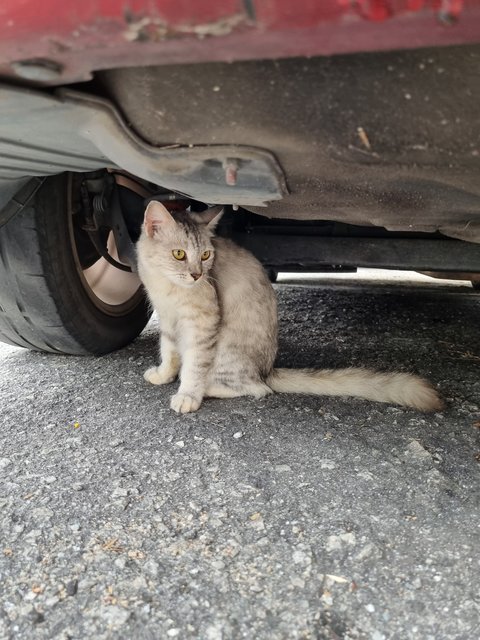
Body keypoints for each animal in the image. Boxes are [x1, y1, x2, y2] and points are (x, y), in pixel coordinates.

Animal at [135, 200, 442, 416]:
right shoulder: (168, 319)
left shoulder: (203, 323)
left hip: (227, 353)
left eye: (206, 255)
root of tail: (268, 370)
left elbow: (194, 366)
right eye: (179, 254)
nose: (197, 275)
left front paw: (187, 394)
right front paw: (163, 375)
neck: (167, 287)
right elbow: (169, 352)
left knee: (256, 388)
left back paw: (207, 389)